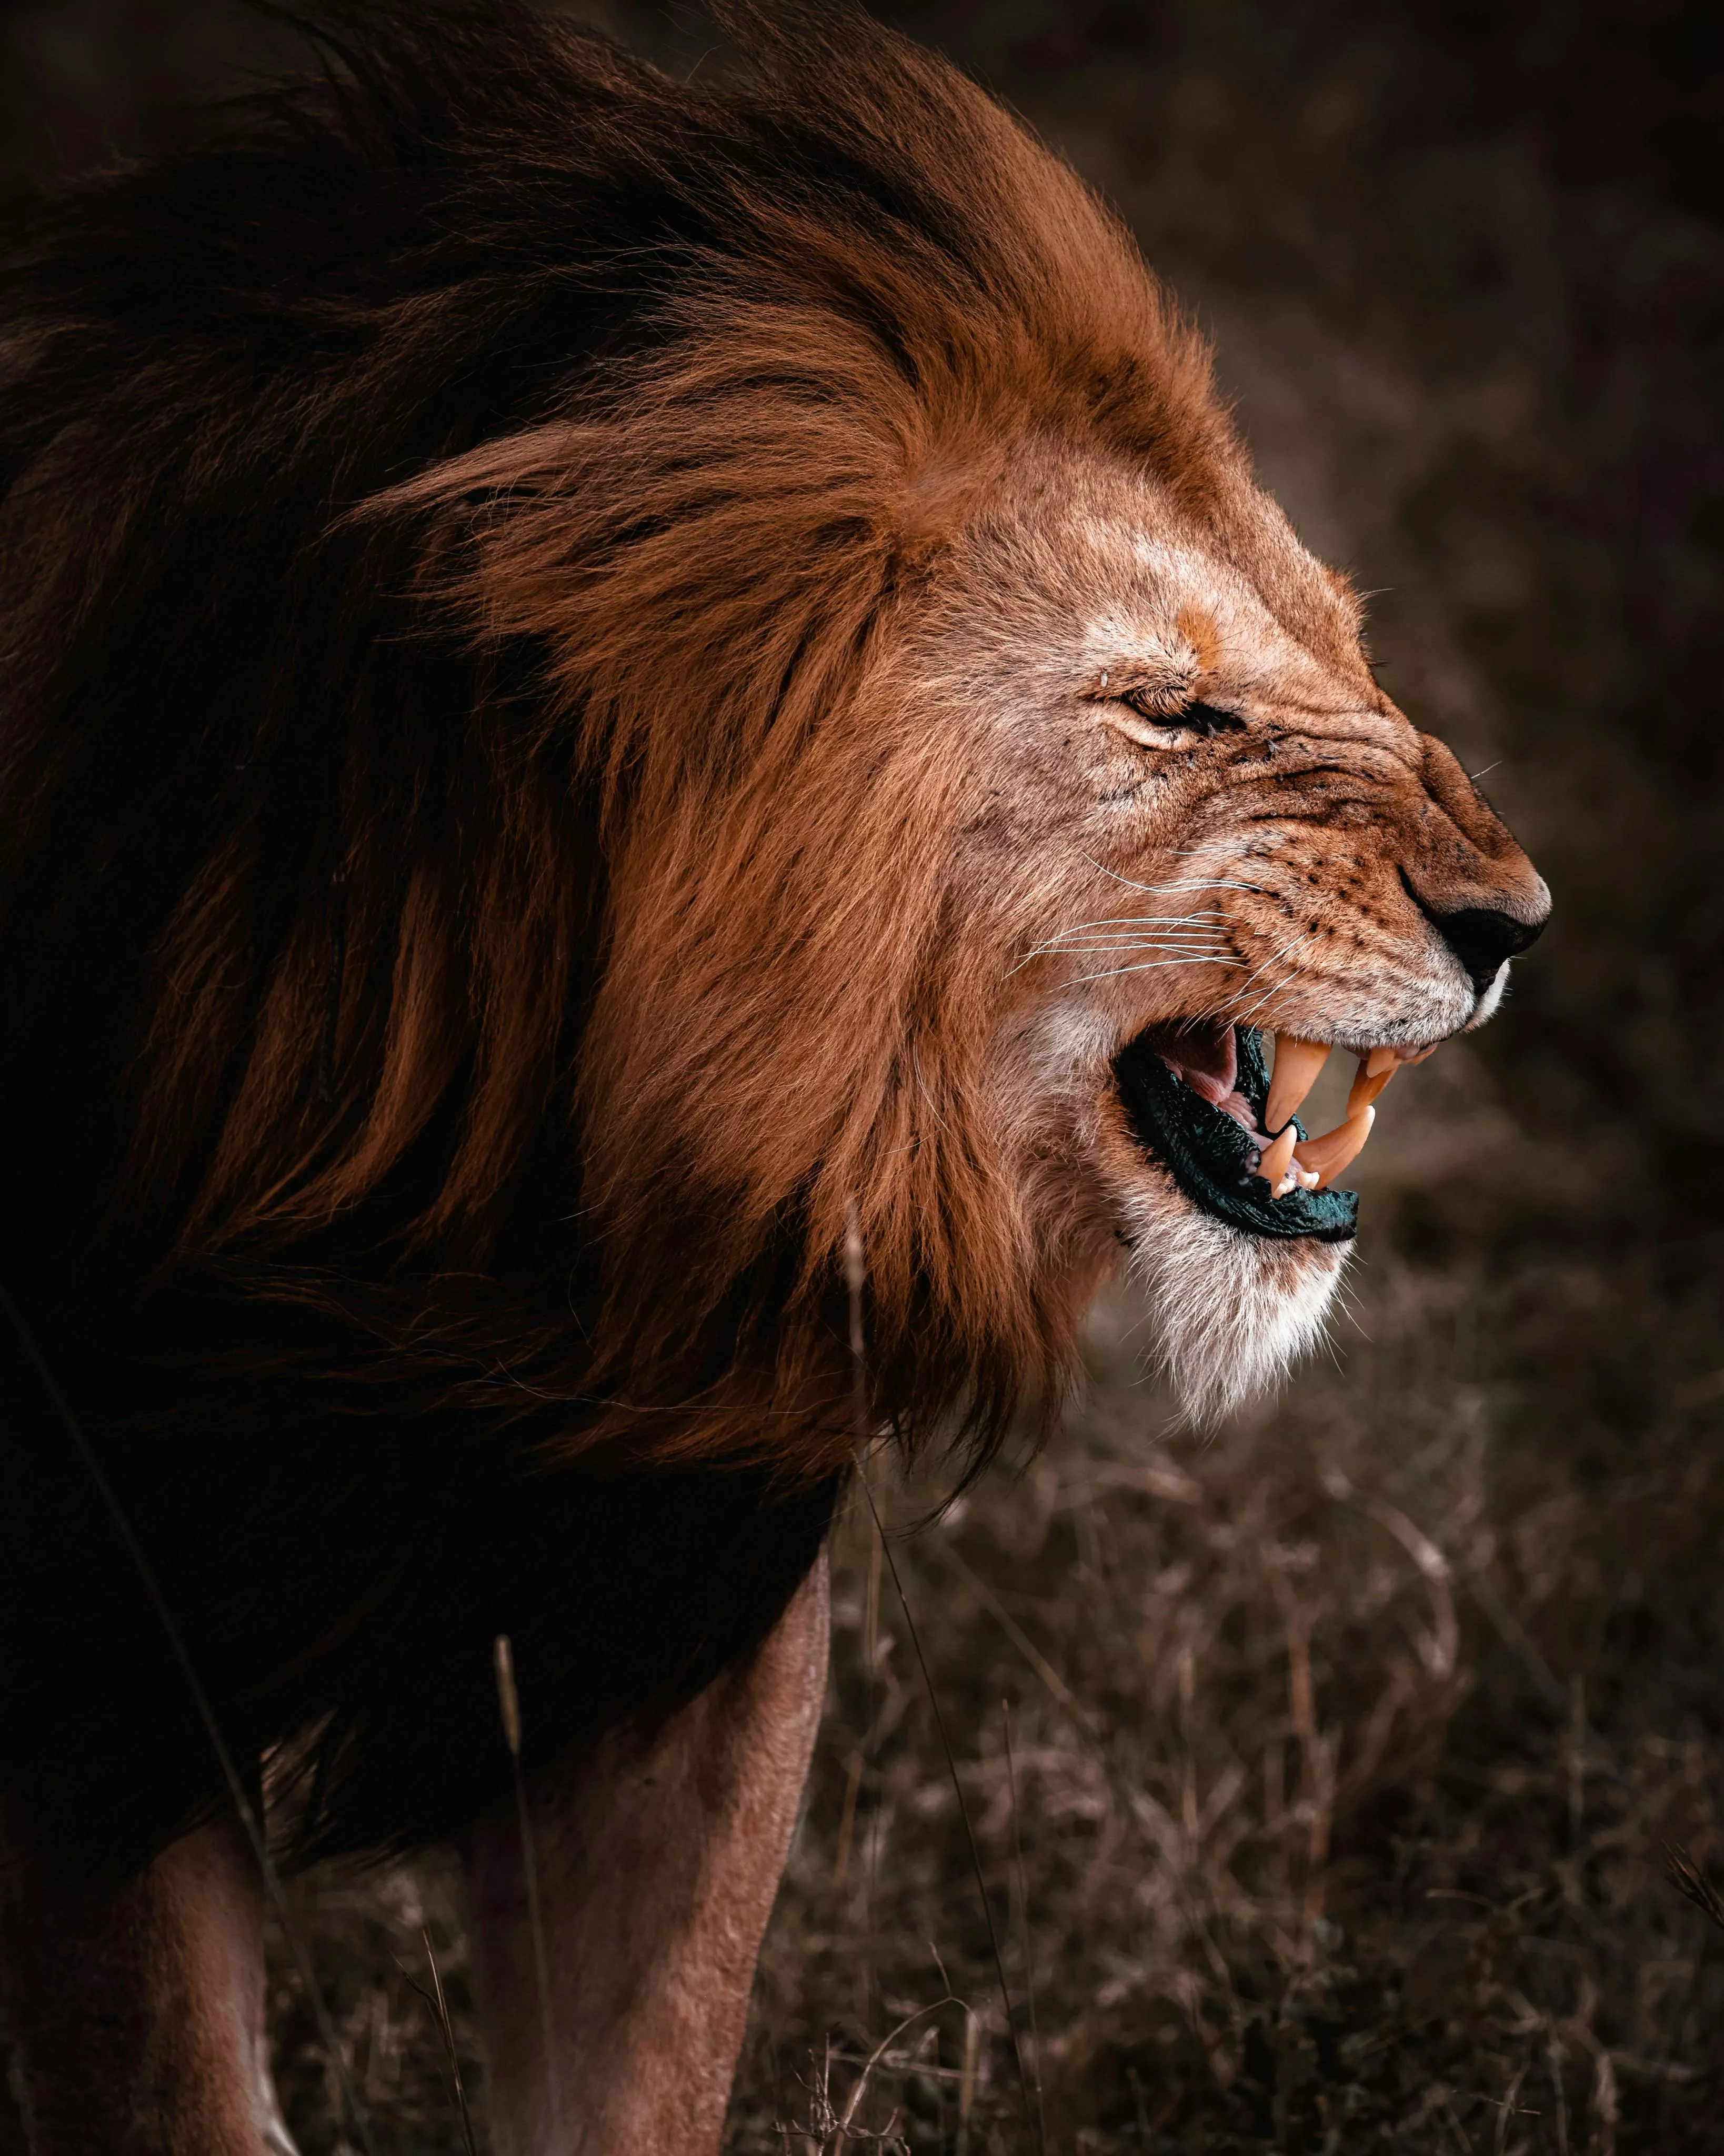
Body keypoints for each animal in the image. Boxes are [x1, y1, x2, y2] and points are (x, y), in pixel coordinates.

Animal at [0, 3, 1547, 2149]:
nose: (1518, 919)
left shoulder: (674, 1592)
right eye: (1172, 710)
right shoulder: (100, 1653)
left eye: (1341, 653)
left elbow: (638, 2080)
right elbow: (173, 2092)